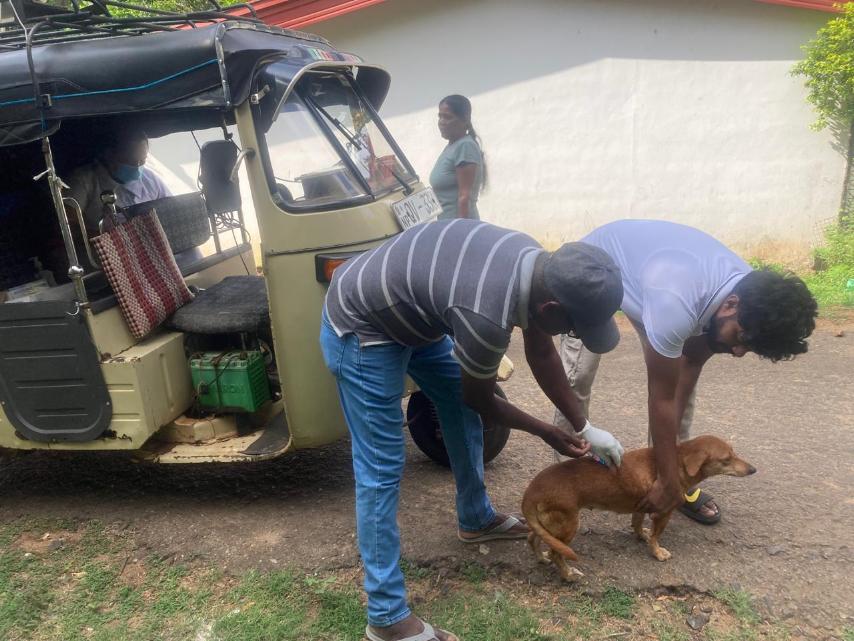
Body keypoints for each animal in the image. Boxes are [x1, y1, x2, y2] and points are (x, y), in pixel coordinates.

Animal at [521, 435, 756, 581]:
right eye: (726, 459)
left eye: (734, 453)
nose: (753, 469)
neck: (677, 463)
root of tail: (531, 492)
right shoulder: (662, 513)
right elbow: (656, 536)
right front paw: (657, 552)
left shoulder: (641, 506)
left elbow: (637, 524)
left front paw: (642, 535)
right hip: (568, 525)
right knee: (557, 553)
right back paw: (567, 574)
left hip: (547, 526)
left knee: (533, 539)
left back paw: (541, 558)